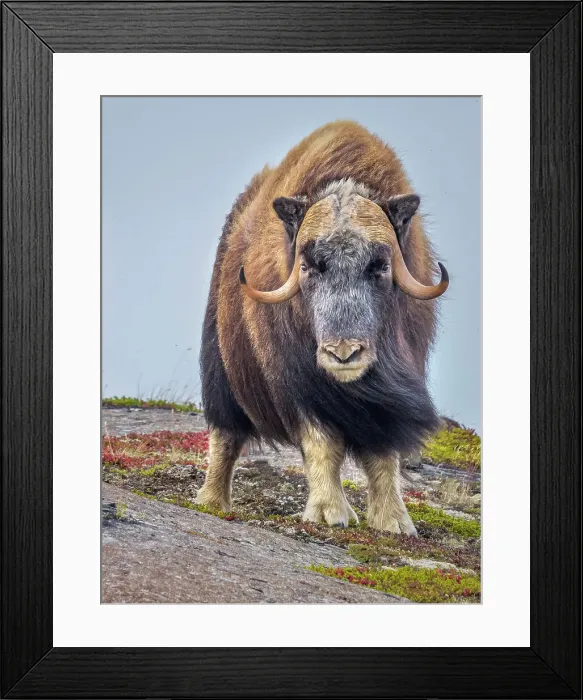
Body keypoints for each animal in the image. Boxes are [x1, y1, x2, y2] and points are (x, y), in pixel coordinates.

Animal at [197, 120, 448, 534]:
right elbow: (321, 442)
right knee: (225, 434)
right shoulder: (297, 385)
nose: (343, 353)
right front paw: (331, 513)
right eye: (310, 265)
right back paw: (212, 502)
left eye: (380, 265)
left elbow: (384, 454)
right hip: (219, 365)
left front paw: (394, 523)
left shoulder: (389, 393)